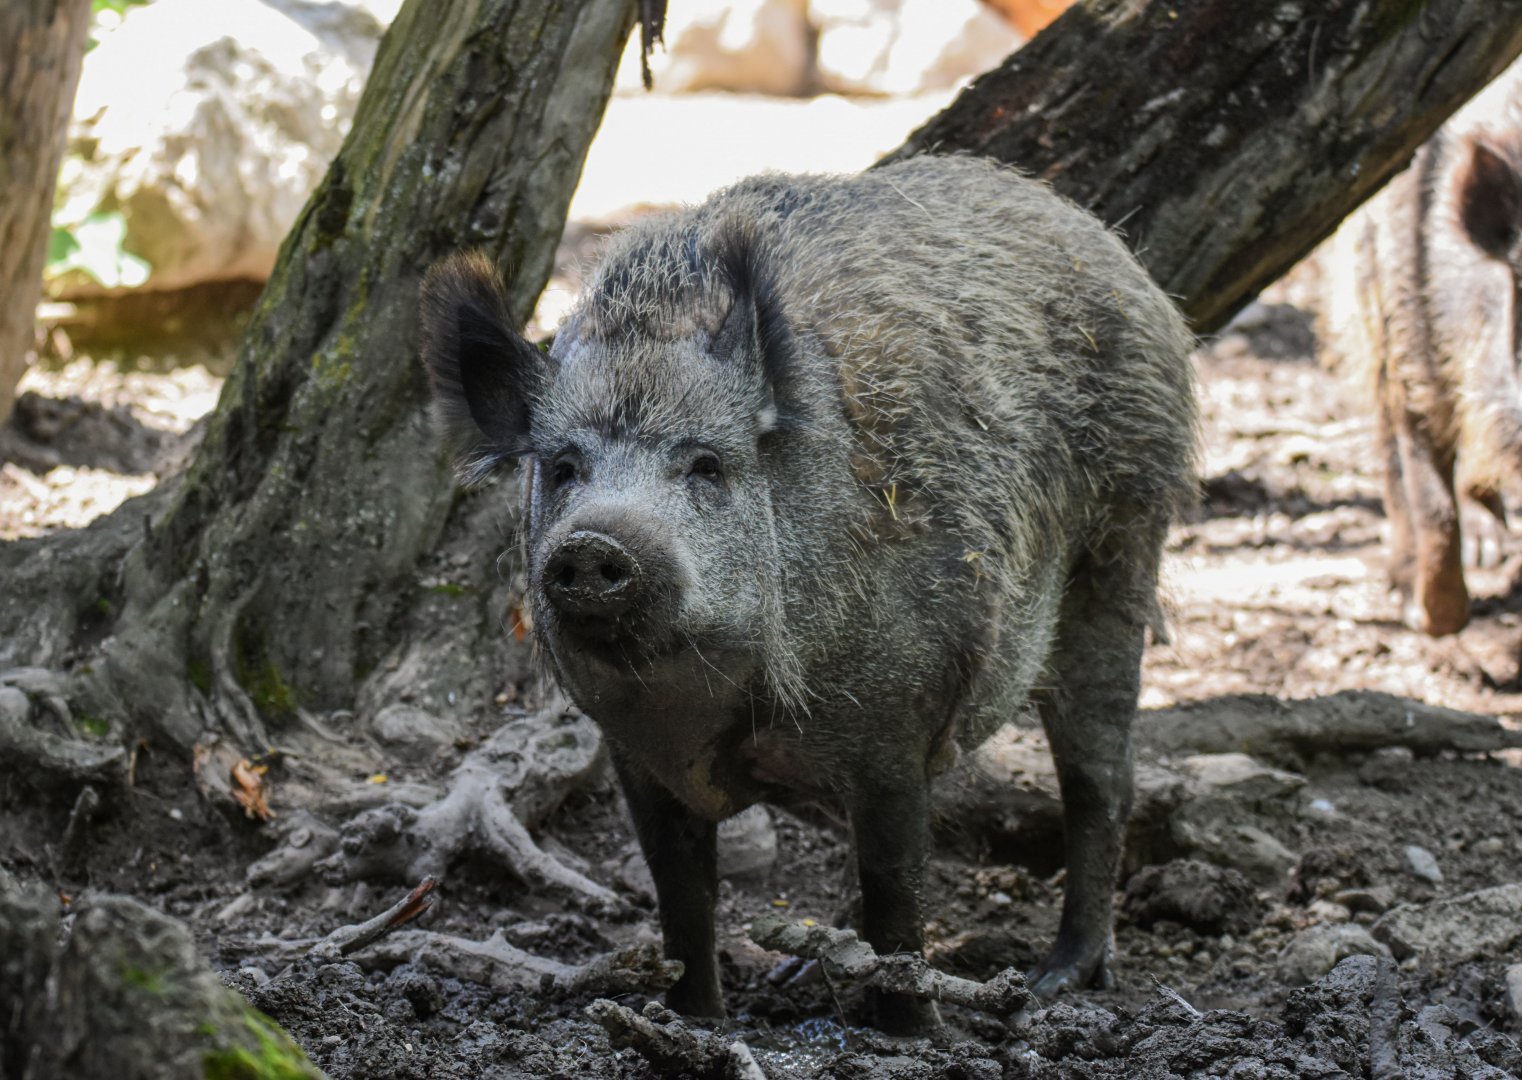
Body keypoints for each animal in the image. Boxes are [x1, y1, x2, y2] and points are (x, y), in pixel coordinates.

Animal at [420, 155, 1197, 1031]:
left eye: (706, 464)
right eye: (562, 468)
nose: (592, 543)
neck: (696, 707)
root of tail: (1112, 252)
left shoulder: (895, 718)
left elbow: (896, 882)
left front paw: (906, 1032)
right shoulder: (630, 753)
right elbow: (680, 893)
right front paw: (694, 1017)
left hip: (1124, 540)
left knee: (1101, 778)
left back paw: (1059, 980)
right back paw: (804, 970)